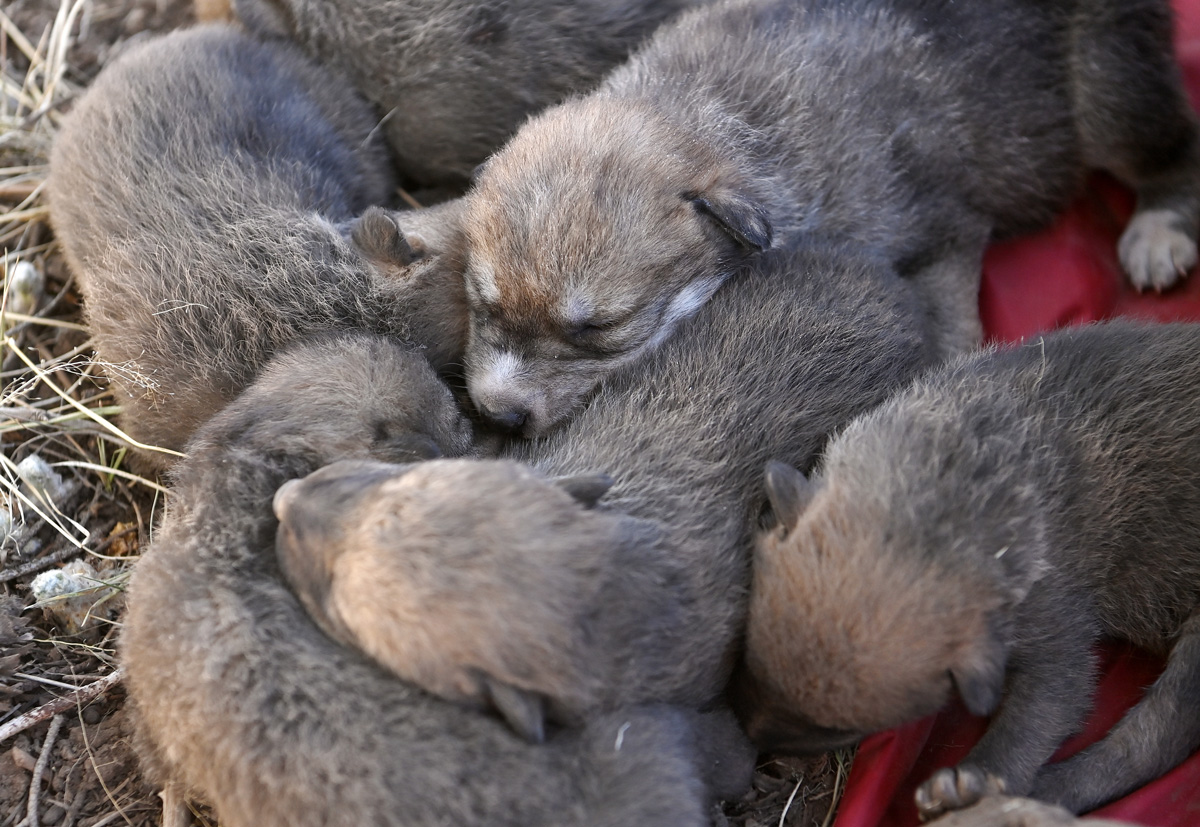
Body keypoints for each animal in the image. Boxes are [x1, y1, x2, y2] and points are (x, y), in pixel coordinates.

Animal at [460, 0, 1200, 436]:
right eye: (482, 301)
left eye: (600, 329)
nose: (497, 413)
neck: (707, 116)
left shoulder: (943, 230)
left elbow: (949, 319)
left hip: (1105, 85)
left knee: (1168, 144)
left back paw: (1159, 230)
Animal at [735, 321, 1200, 816]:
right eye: (750, 660)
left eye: (840, 729)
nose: (756, 745)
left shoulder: (1056, 625)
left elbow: (1043, 709)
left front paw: (972, 779)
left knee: (1153, 737)